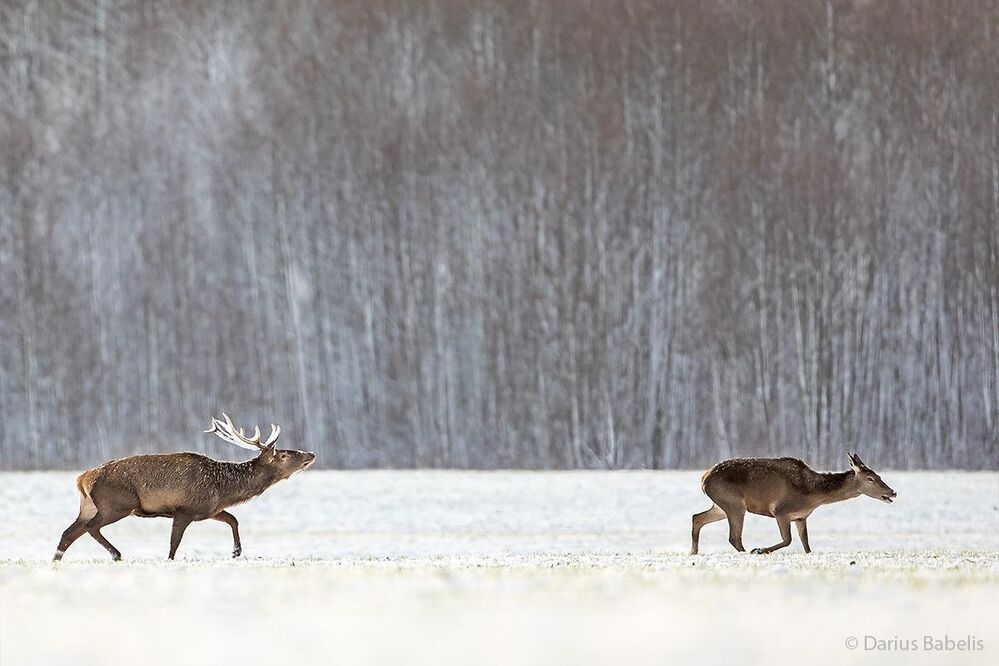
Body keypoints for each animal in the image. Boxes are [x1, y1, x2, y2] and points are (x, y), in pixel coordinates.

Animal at [53, 413, 315, 562]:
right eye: (283, 454)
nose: (310, 454)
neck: (224, 489)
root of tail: (83, 478)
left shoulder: (209, 510)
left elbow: (233, 519)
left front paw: (236, 552)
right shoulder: (184, 510)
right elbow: (174, 543)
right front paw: (170, 561)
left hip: (88, 506)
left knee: (69, 532)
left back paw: (56, 561)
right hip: (117, 504)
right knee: (89, 527)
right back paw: (116, 554)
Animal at [689, 452, 896, 555]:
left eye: (878, 475)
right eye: (870, 478)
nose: (892, 491)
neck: (813, 496)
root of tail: (704, 478)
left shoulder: (801, 517)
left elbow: (806, 544)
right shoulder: (780, 510)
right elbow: (788, 540)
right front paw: (760, 550)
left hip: (721, 506)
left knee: (697, 517)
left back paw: (693, 552)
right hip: (735, 504)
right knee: (734, 537)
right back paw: (748, 551)